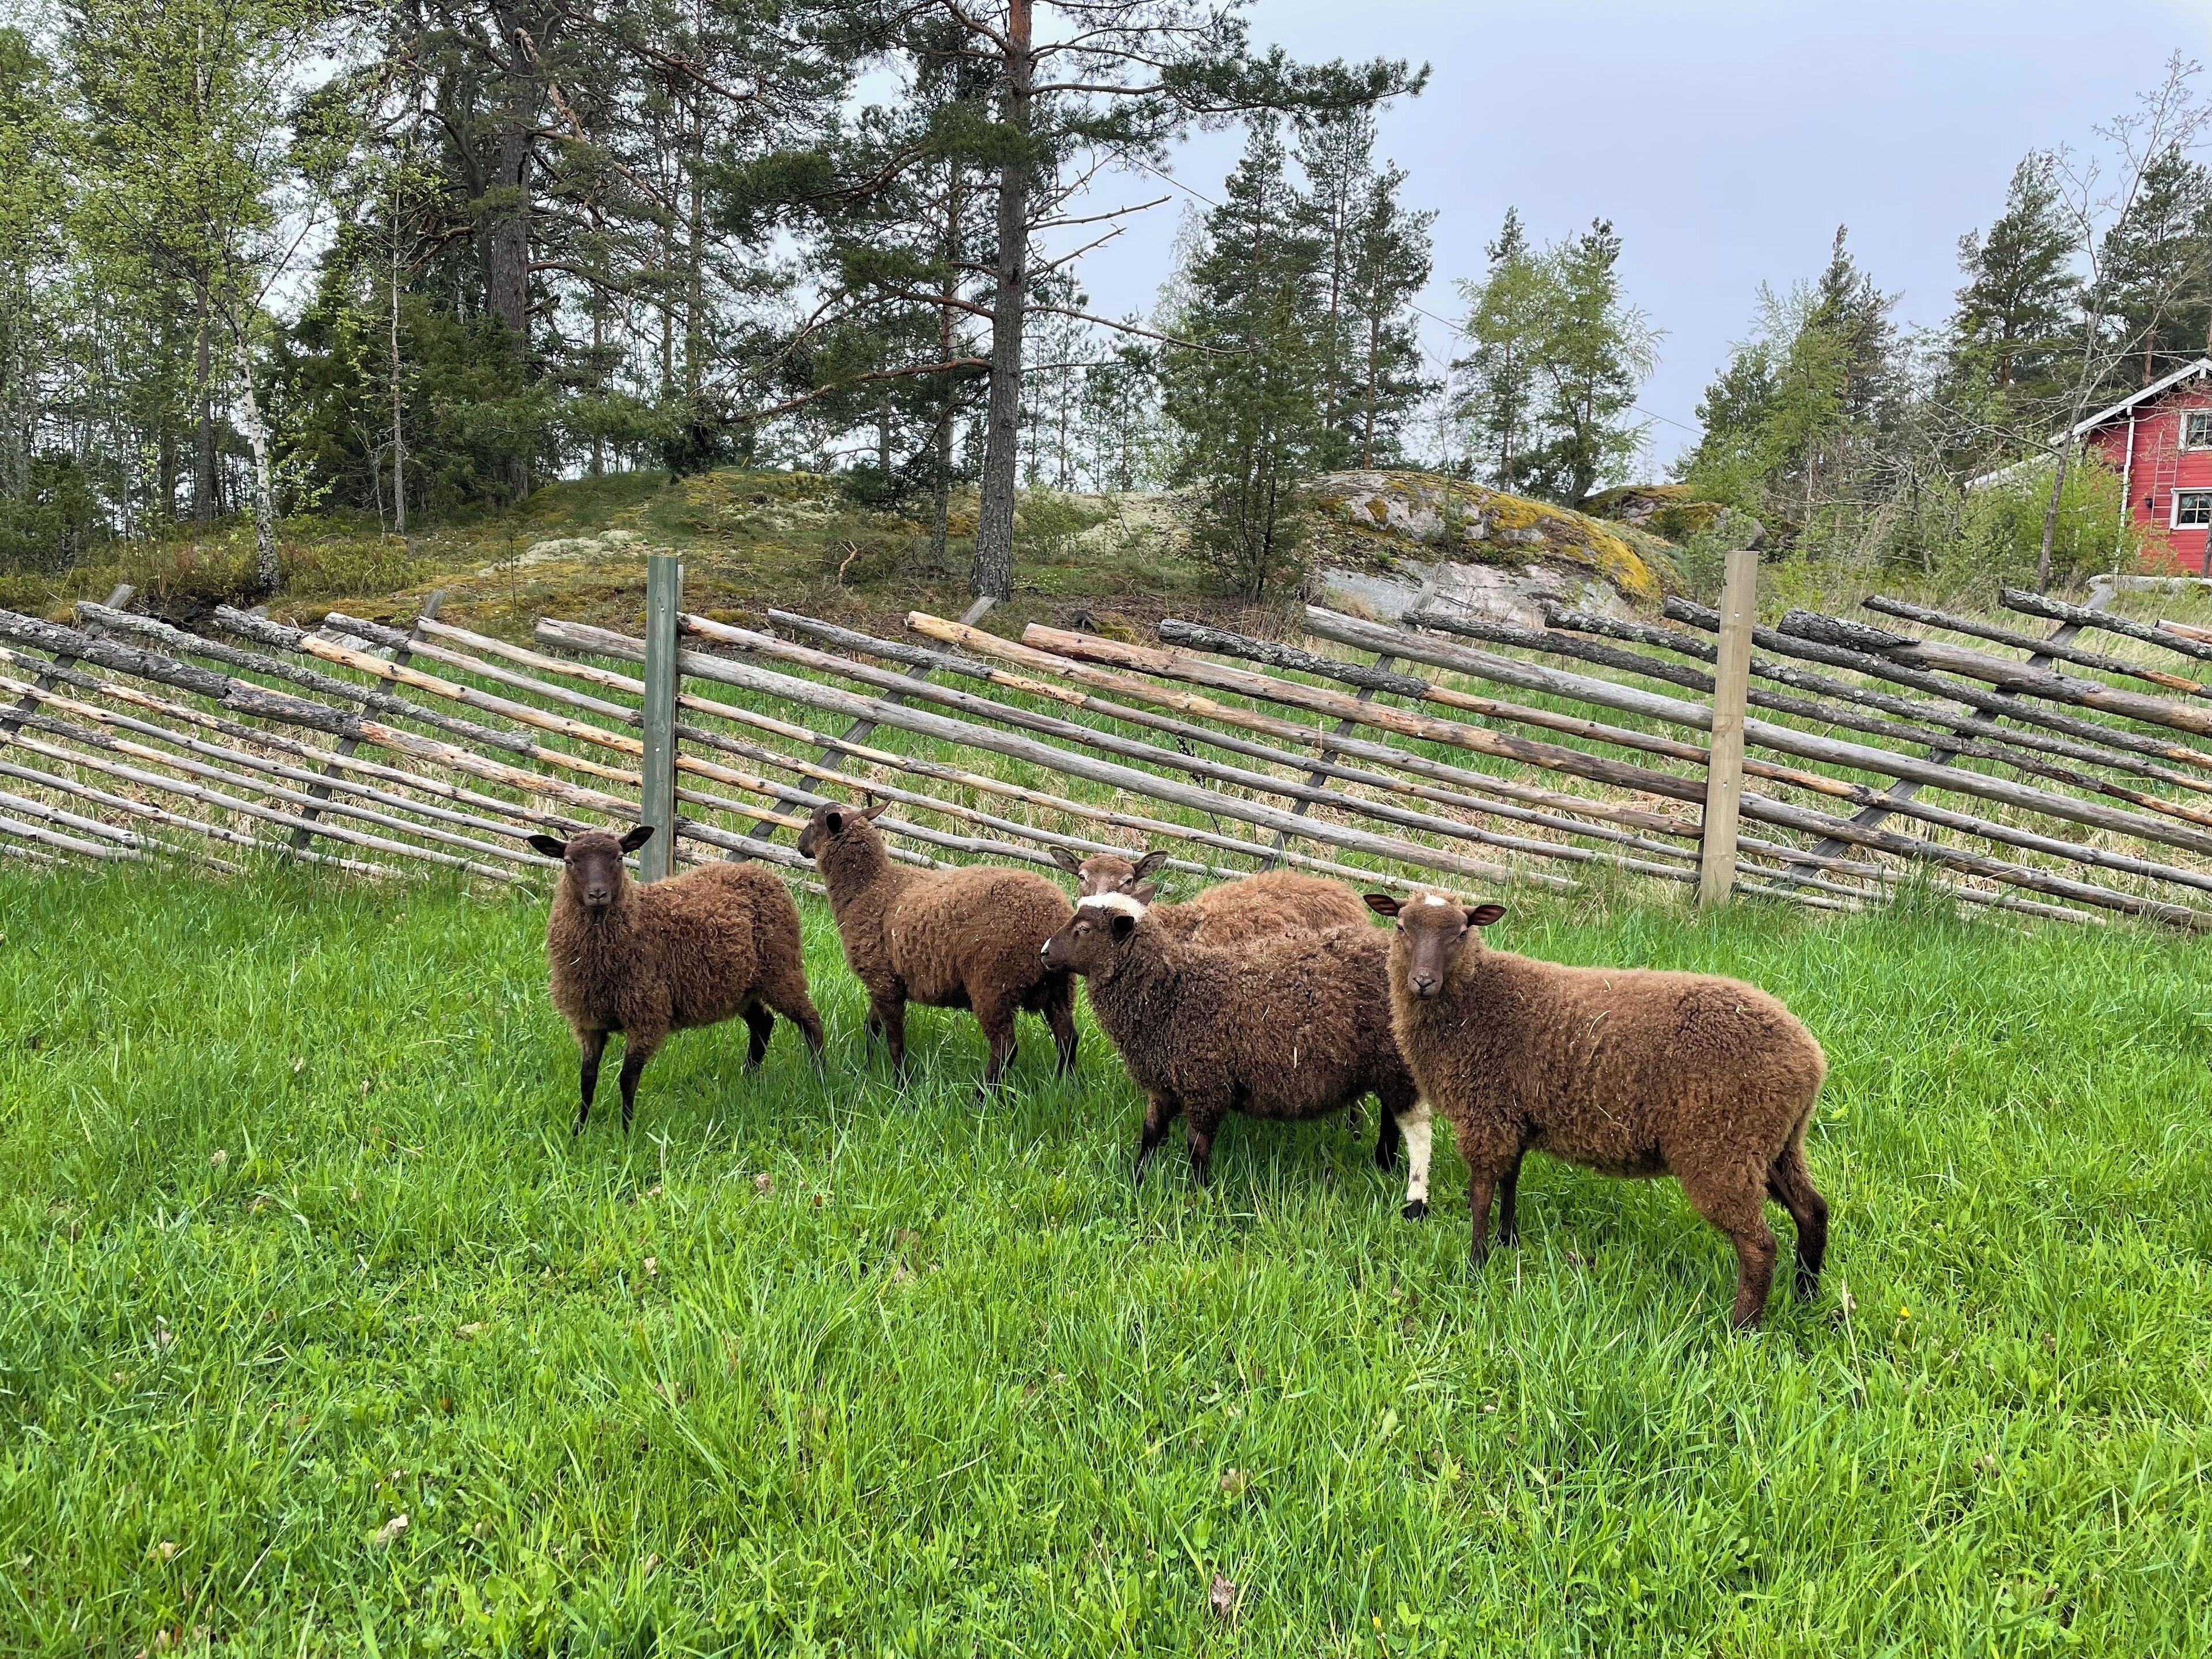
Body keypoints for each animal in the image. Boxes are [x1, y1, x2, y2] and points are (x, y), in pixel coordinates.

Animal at [526, 824, 825, 1134]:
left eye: (620, 857)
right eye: (569, 861)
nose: (598, 894)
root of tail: (762, 873)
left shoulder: (647, 1016)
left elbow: (627, 1078)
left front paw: (626, 1131)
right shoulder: (588, 1020)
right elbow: (587, 1078)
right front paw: (579, 1131)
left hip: (781, 969)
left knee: (810, 1020)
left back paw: (819, 1077)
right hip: (740, 986)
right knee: (763, 1024)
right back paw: (748, 1080)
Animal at [797, 799, 1077, 1091]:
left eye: (812, 824)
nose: (798, 845)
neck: (868, 888)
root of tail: (1051, 916)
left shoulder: (883, 980)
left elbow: (894, 1040)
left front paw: (900, 1084)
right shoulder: (884, 981)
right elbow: (871, 1027)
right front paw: (869, 1067)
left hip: (994, 984)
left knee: (1006, 1047)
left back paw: (981, 1096)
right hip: (1059, 984)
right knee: (1067, 1037)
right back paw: (1064, 1085)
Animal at [1039, 892, 1432, 1205]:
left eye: (1084, 929)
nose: (1044, 953)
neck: (1174, 995)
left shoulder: (1206, 1086)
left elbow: (1196, 1147)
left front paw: (1198, 1194)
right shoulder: (1165, 1083)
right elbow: (1150, 1133)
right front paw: (1136, 1179)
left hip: (1395, 1064)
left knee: (1402, 1121)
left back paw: (1394, 1173)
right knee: (1390, 1115)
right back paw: (1382, 1163)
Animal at [1366, 890, 1830, 1329]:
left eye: (1462, 932)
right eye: (1402, 927)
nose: (1423, 982)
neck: (1476, 1000)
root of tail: (1811, 1059)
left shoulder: (1485, 1113)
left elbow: (1480, 1194)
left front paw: (1475, 1265)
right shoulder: (1512, 1116)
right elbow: (1509, 1182)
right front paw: (1505, 1241)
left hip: (1722, 1148)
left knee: (1758, 1245)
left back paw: (1742, 1329)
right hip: (1773, 1145)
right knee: (1812, 1211)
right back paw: (1806, 1295)